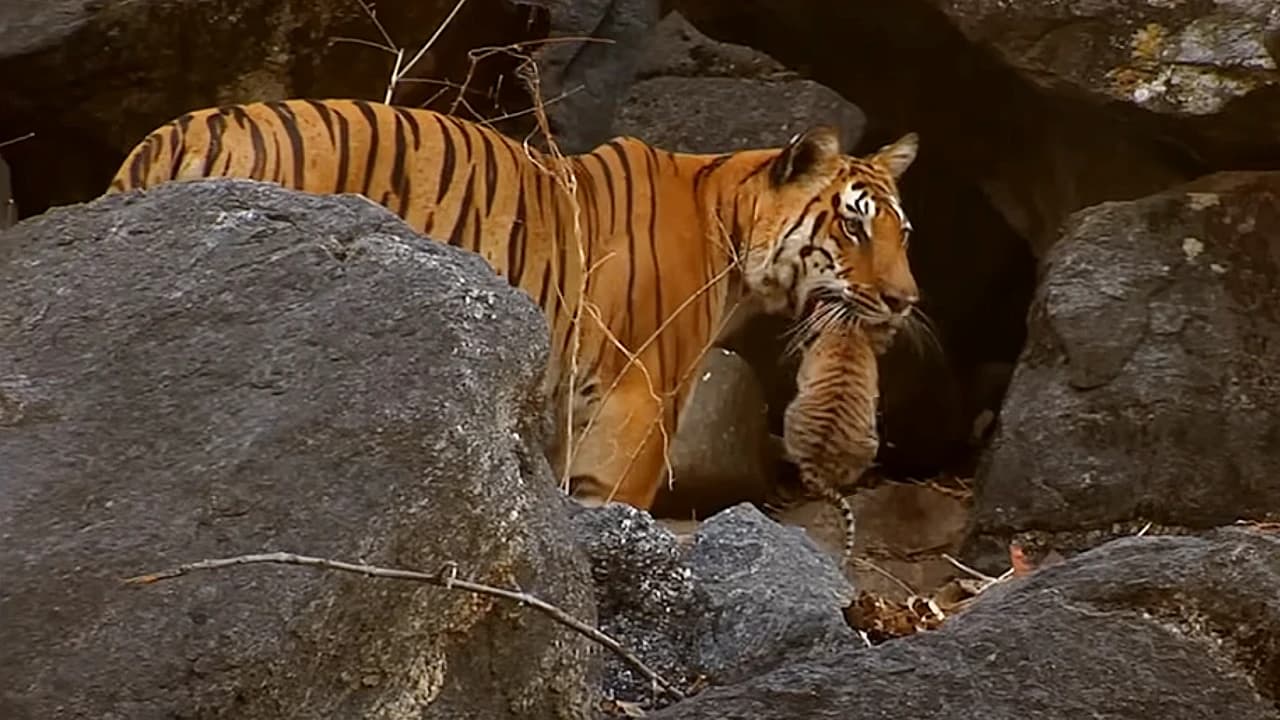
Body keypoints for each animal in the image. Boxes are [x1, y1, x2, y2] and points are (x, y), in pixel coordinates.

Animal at [102, 98, 921, 509]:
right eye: (853, 225)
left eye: (902, 231)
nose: (905, 300)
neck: (732, 225)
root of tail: (170, 135)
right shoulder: (640, 399)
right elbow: (614, 505)